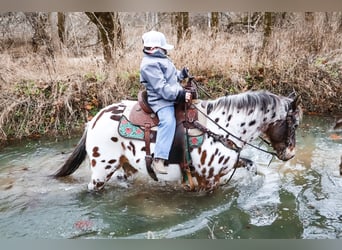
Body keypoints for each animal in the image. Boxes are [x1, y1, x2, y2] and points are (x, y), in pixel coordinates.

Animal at [52, 83, 300, 192]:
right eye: (295, 124)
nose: (290, 154)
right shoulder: (208, 180)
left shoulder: (227, 166)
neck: (222, 127)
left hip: (127, 166)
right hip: (102, 170)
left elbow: (250, 165)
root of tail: (93, 120)